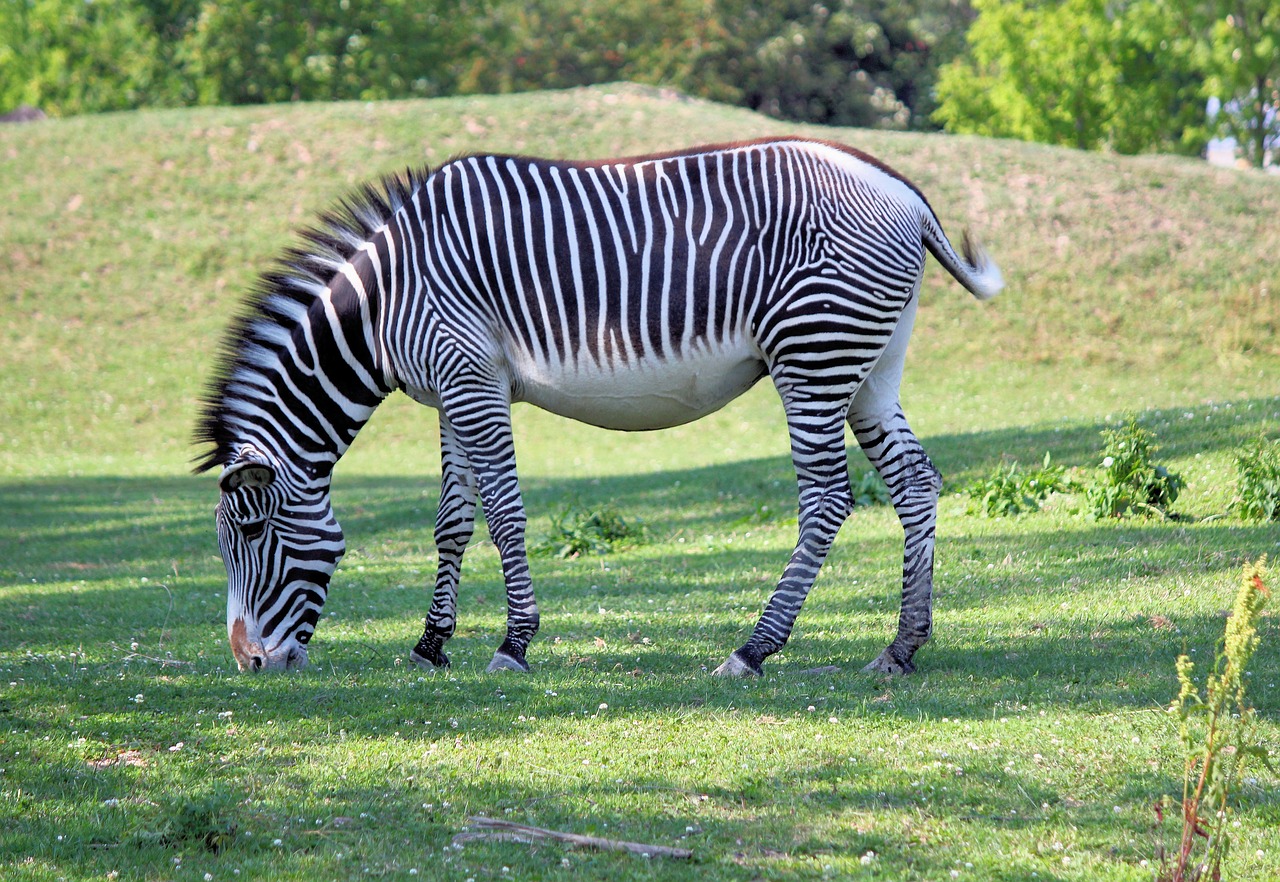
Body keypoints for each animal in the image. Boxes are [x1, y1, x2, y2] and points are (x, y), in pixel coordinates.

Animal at [194, 135, 1003, 675]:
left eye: (254, 532)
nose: (247, 663)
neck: (384, 300)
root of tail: (904, 193)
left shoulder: (471, 379)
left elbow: (504, 513)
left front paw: (514, 643)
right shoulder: (451, 392)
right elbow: (452, 523)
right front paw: (431, 645)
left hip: (813, 354)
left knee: (829, 497)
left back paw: (753, 648)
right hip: (870, 365)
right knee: (915, 483)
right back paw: (902, 646)